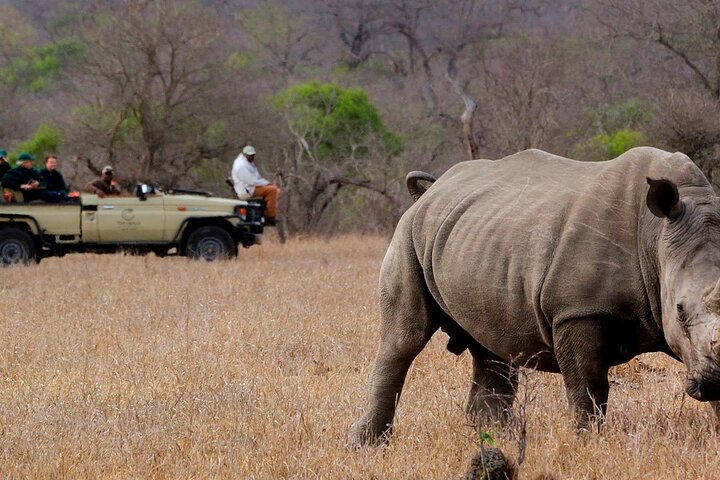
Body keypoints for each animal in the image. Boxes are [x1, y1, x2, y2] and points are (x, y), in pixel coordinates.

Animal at [350, 147, 720, 446]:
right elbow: (588, 390)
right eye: (679, 311)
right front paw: (586, 445)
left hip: (480, 235)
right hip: (409, 232)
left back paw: (494, 438)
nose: (715, 380)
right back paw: (368, 445)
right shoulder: (577, 310)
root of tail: (431, 190)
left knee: (491, 349)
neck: (656, 239)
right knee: (404, 339)